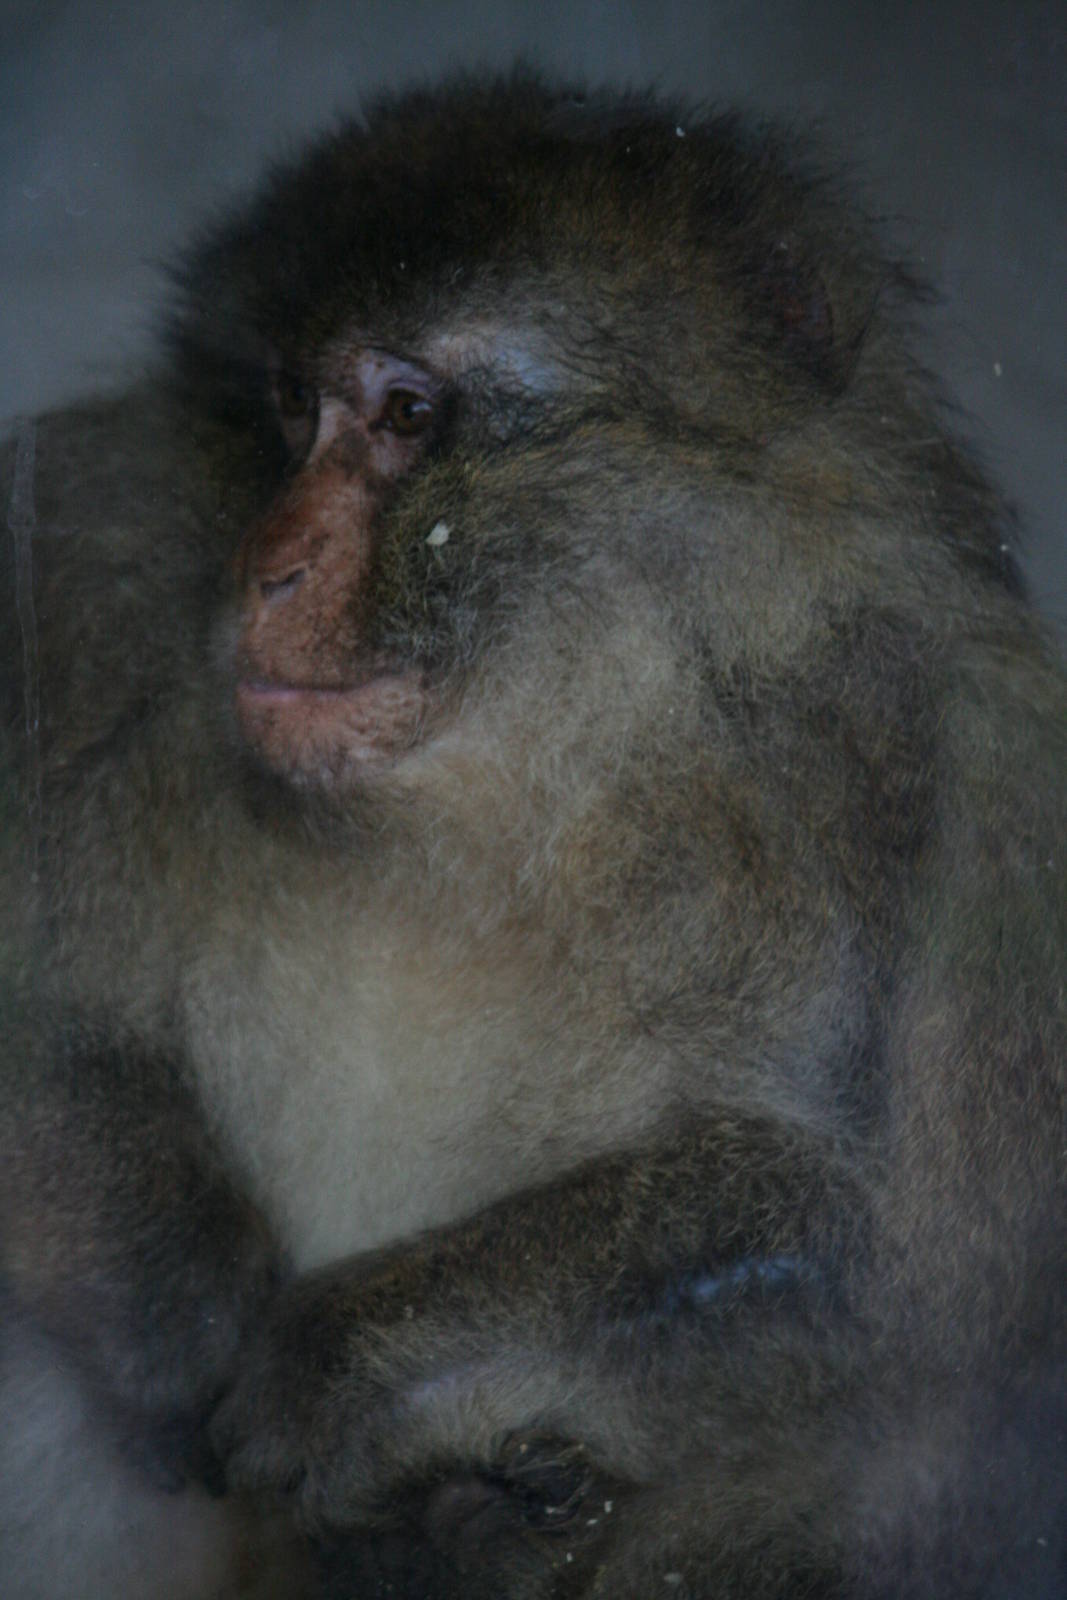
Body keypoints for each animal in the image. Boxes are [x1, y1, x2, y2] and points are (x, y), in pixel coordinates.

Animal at [1, 70, 1064, 1600]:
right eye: (290, 405)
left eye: (406, 412)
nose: (265, 567)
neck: (519, 767)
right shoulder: (85, 575)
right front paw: (181, 1306)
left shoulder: (947, 783)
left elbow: (897, 1303)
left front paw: (358, 1368)